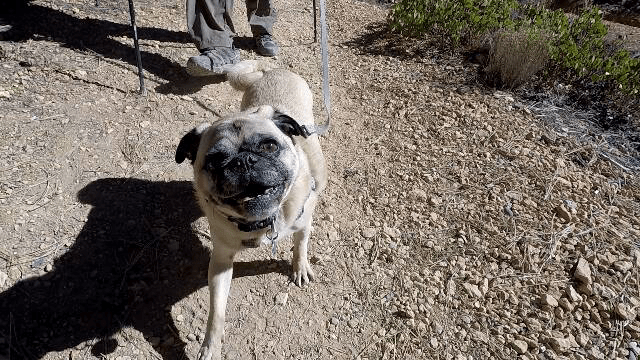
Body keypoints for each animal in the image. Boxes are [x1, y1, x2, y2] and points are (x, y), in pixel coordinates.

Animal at [175, 61, 328, 360]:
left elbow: (300, 245)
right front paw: (210, 347)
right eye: (215, 161)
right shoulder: (221, 260)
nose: (243, 160)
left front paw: (300, 266)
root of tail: (270, 72)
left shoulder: (303, 224)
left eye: (269, 146)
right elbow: (216, 312)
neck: (263, 221)